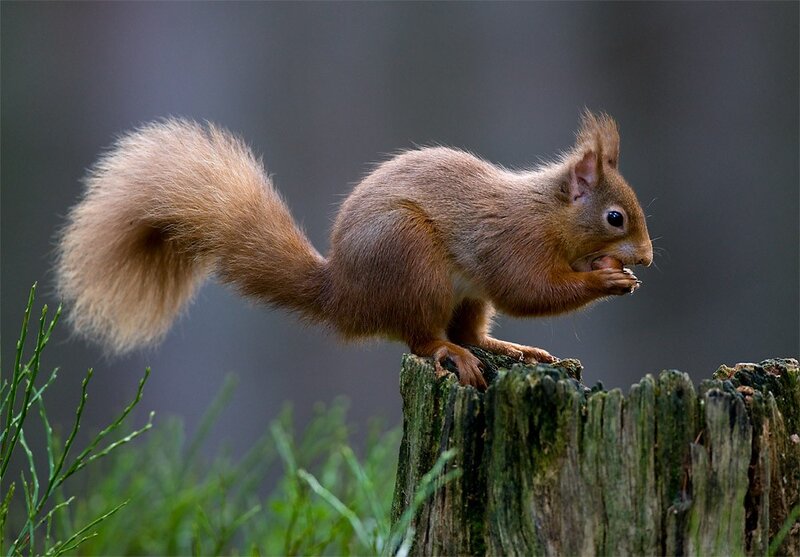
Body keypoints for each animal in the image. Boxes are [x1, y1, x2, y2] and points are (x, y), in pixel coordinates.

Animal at [56, 111, 652, 390]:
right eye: (615, 217)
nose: (645, 257)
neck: (547, 213)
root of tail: (344, 295)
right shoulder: (511, 241)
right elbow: (527, 290)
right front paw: (606, 279)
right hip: (411, 260)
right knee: (424, 338)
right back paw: (450, 354)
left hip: (462, 293)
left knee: (470, 331)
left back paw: (509, 349)